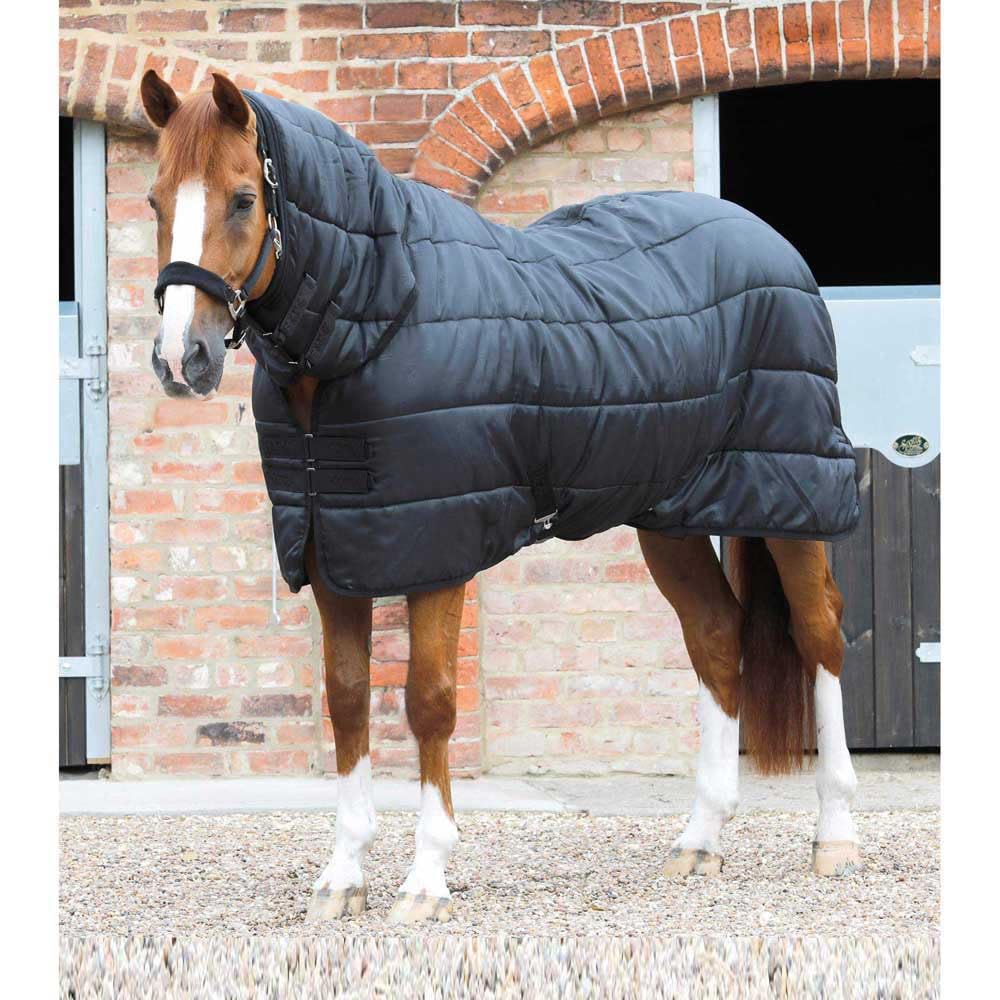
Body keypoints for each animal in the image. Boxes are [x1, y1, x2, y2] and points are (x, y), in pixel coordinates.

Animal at [139, 69, 862, 924]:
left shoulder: (438, 553)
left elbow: (428, 701)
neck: (378, 314)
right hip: (670, 516)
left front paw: (425, 880)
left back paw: (836, 836)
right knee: (718, 638)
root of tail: (770, 243)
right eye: (154, 199)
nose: (182, 359)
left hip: (794, 496)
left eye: (244, 198)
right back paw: (699, 840)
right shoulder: (330, 551)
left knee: (820, 636)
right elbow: (347, 699)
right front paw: (342, 877)